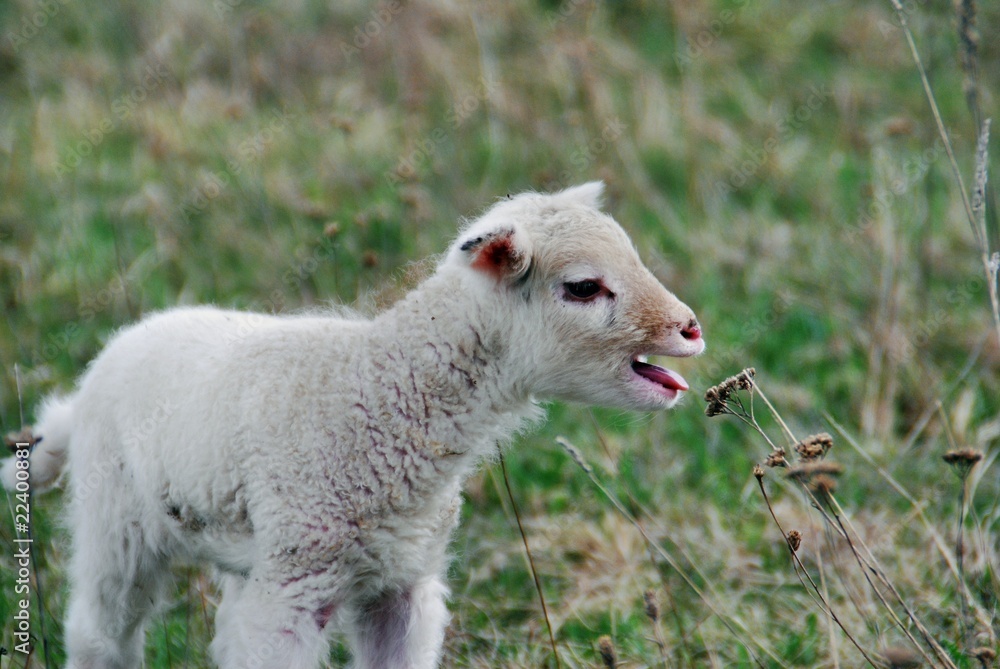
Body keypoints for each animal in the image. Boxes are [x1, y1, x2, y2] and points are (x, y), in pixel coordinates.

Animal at [1, 182, 704, 669]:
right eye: (583, 287)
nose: (691, 329)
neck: (378, 392)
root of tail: (87, 386)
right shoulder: (297, 588)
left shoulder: (403, 582)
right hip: (117, 521)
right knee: (99, 632)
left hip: (251, 553)